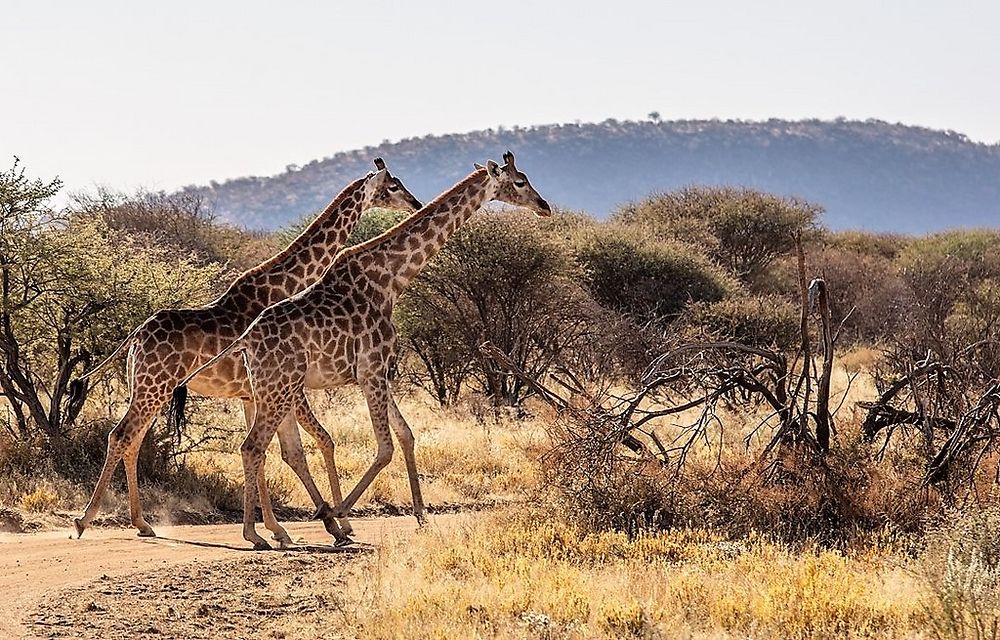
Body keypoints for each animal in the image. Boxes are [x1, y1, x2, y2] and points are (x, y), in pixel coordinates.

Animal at [72, 159, 420, 544]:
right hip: (154, 388)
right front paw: (321, 525)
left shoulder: (251, 394)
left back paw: (142, 523)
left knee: (132, 440)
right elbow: (303, 446)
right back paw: (84, 520)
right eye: (393, 186)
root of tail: (135, 336)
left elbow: (270, 452)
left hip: (148, 389)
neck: (284, 286)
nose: (416, 204)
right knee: (121, 436)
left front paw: (274, 529)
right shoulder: (284, 389)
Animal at [182, 152, 556, 548]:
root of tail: (247, 340)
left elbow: (406, 434)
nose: (544, 206)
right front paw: (336, 515)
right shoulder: (372, 370)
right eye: (519, 181)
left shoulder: (378, 372)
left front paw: (421, 517)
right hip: (279, 390)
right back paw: (259, 533)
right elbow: (385, 446)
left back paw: (267, 530)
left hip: (266, 391)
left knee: (261, 448)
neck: (390, 281)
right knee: (255, 447)